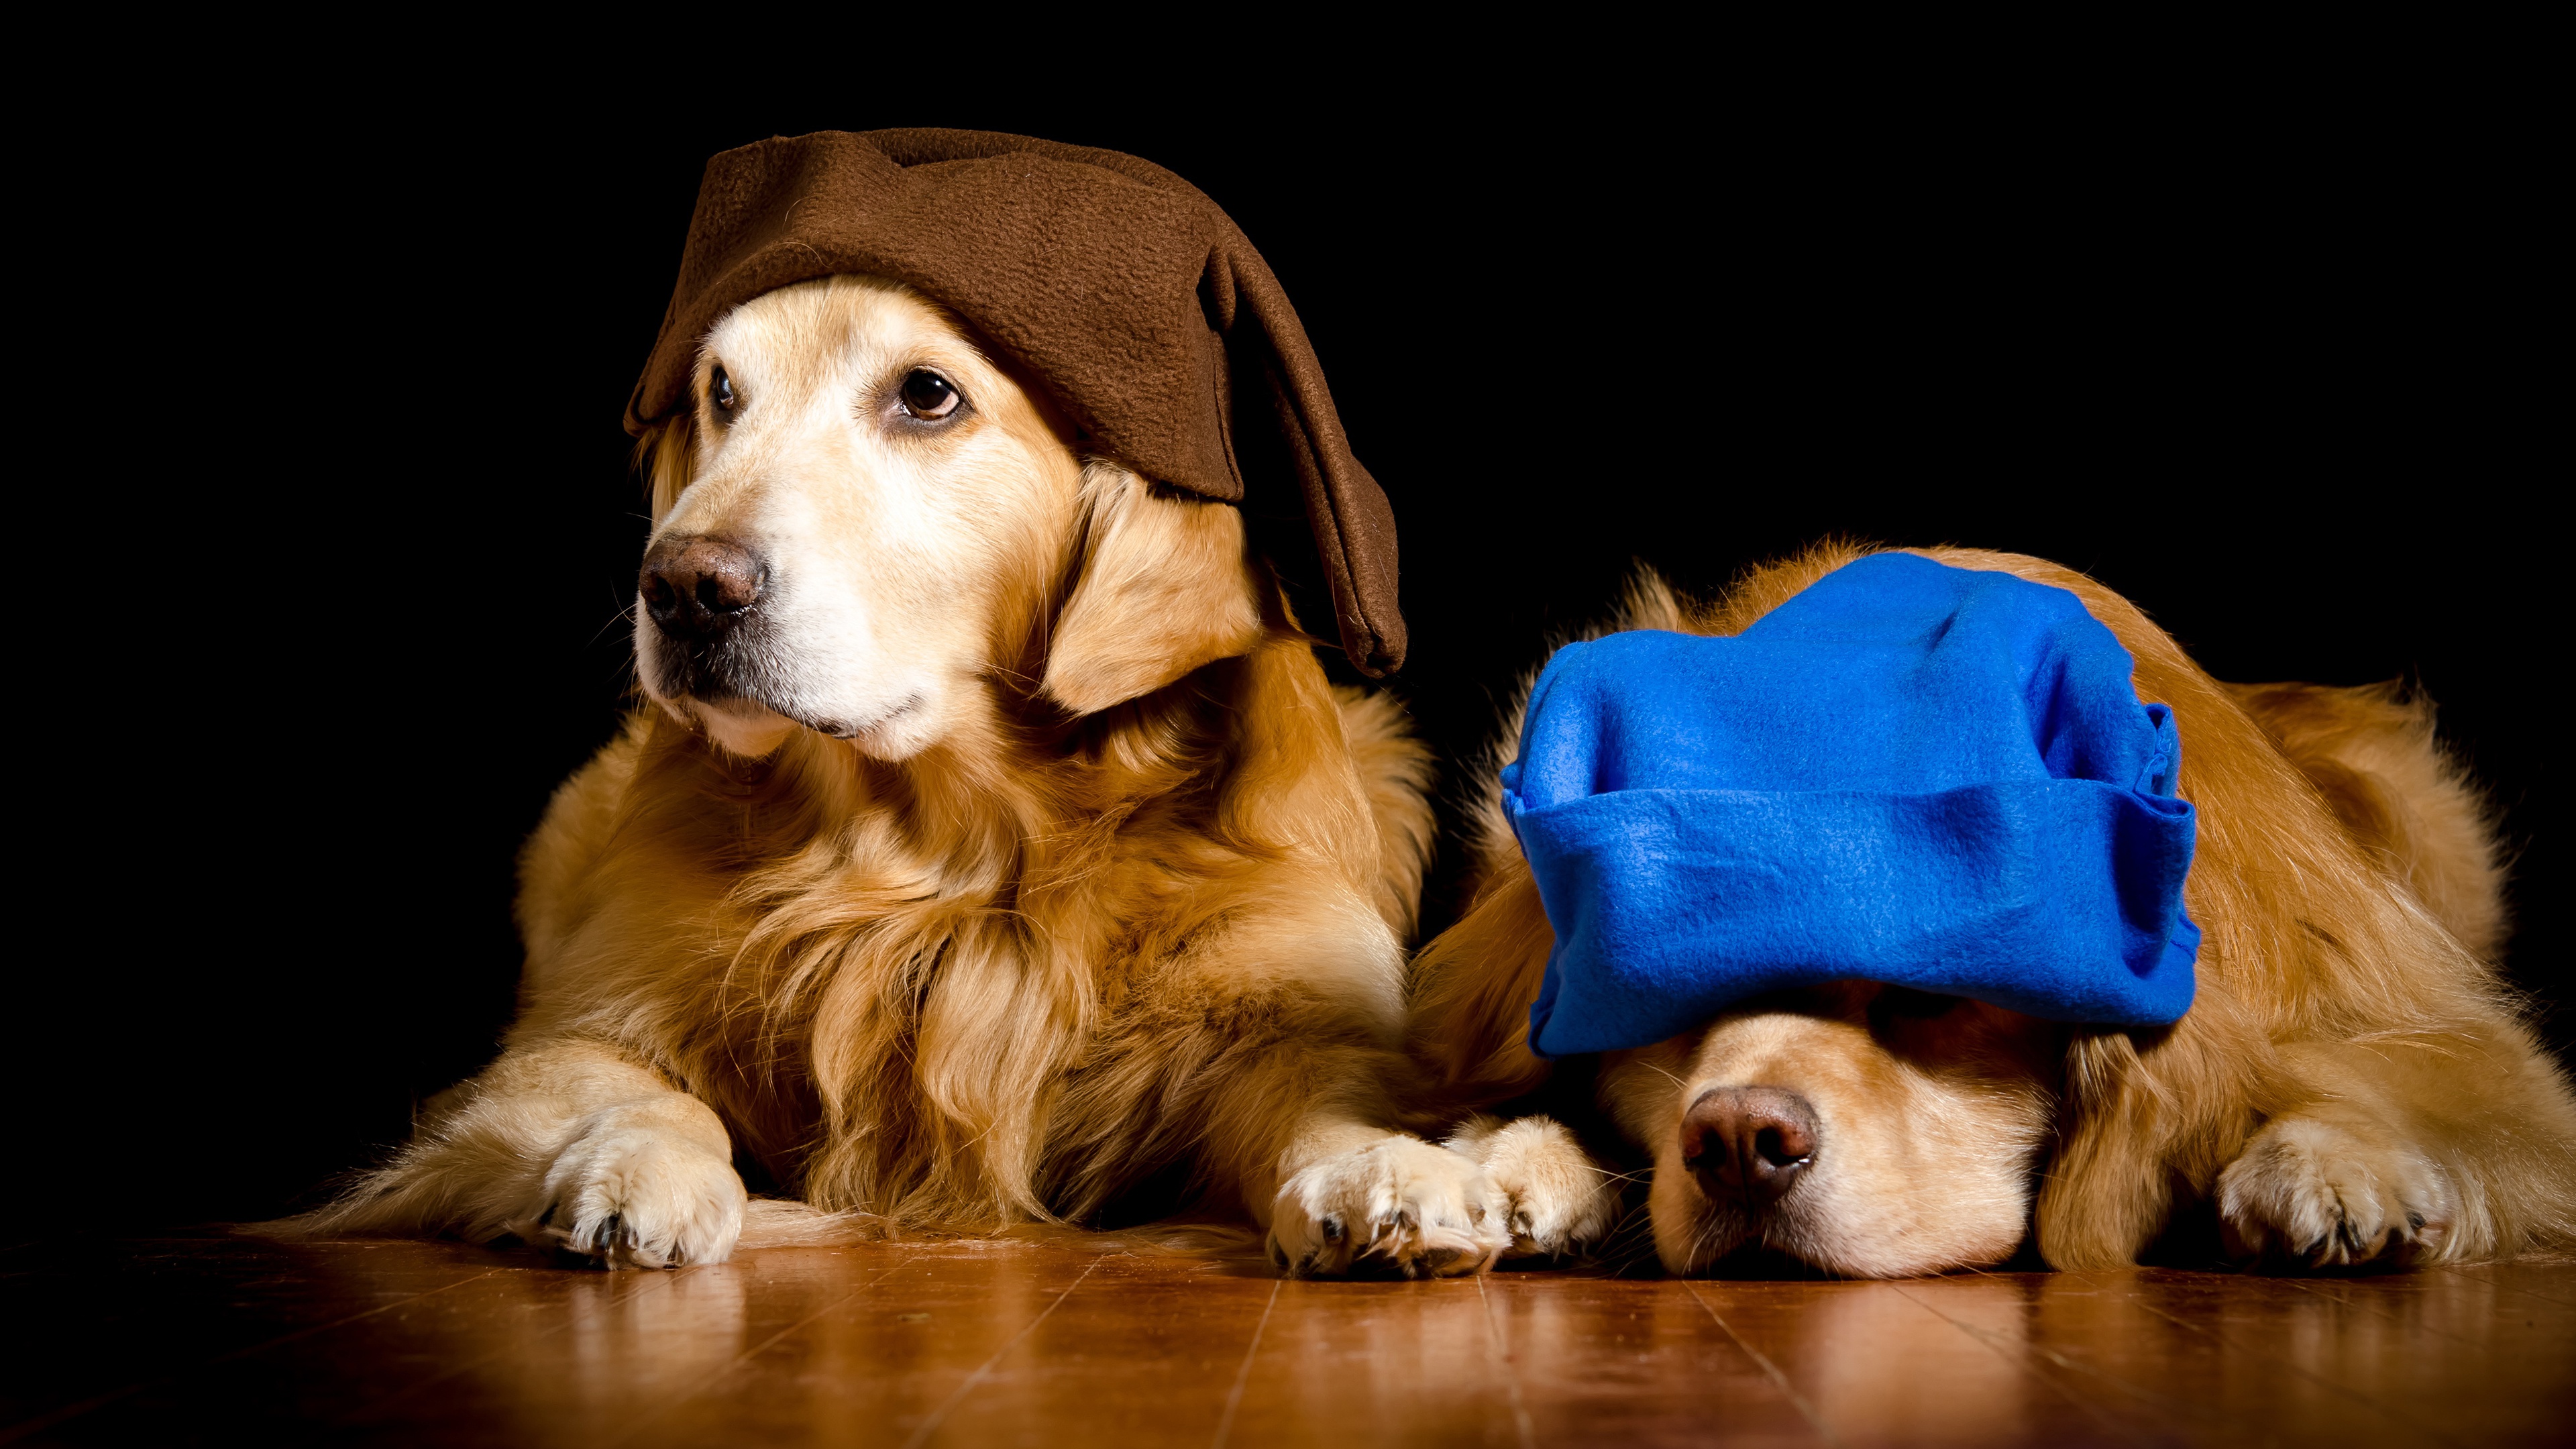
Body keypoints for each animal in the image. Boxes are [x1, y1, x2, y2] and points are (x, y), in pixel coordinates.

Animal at [301, 280, 1504, 1273]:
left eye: (927, 395)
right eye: (721, 391)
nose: (681, 588)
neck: (947, 853)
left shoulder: (1284, 1010)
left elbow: (1324, 1097)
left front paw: (1389, 1169)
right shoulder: (564, 1037)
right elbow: (635, 1091)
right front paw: (642, 1169)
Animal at [1411, 543, 2576, 1273]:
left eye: (1929, 997)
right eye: (1671, 993)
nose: (1740, 1141)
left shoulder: (2456, 1044)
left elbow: (2420, 1081)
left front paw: (2330, 1163)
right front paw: (1514, 1154)